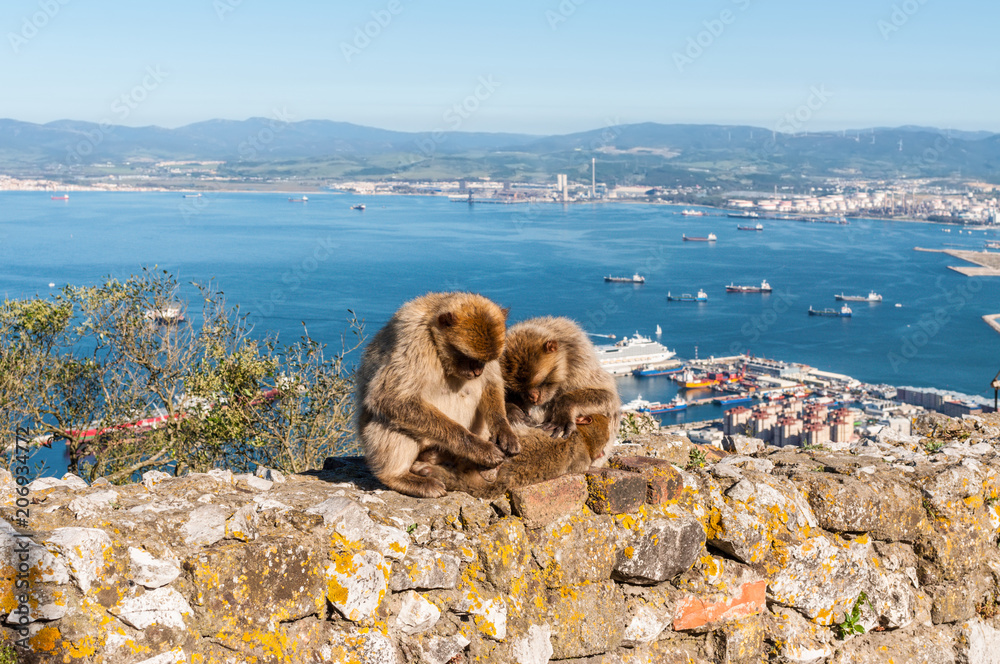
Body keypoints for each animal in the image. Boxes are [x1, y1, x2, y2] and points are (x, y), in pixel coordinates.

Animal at [354, 291, 520, 498]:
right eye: (468, 358)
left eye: (483, 361)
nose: (477, 371)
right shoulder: (415, 339)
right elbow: (391, 397)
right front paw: (479, 448)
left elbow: (492, 382)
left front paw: (503, 429)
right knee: (390, 419)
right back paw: (397, 477)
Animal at [500, 316, 621, 454]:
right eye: (519, 390)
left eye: (541, 381)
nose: (532, 398)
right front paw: (511, 411)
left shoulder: (580, 364)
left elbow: (609, 397)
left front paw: (563, 411)